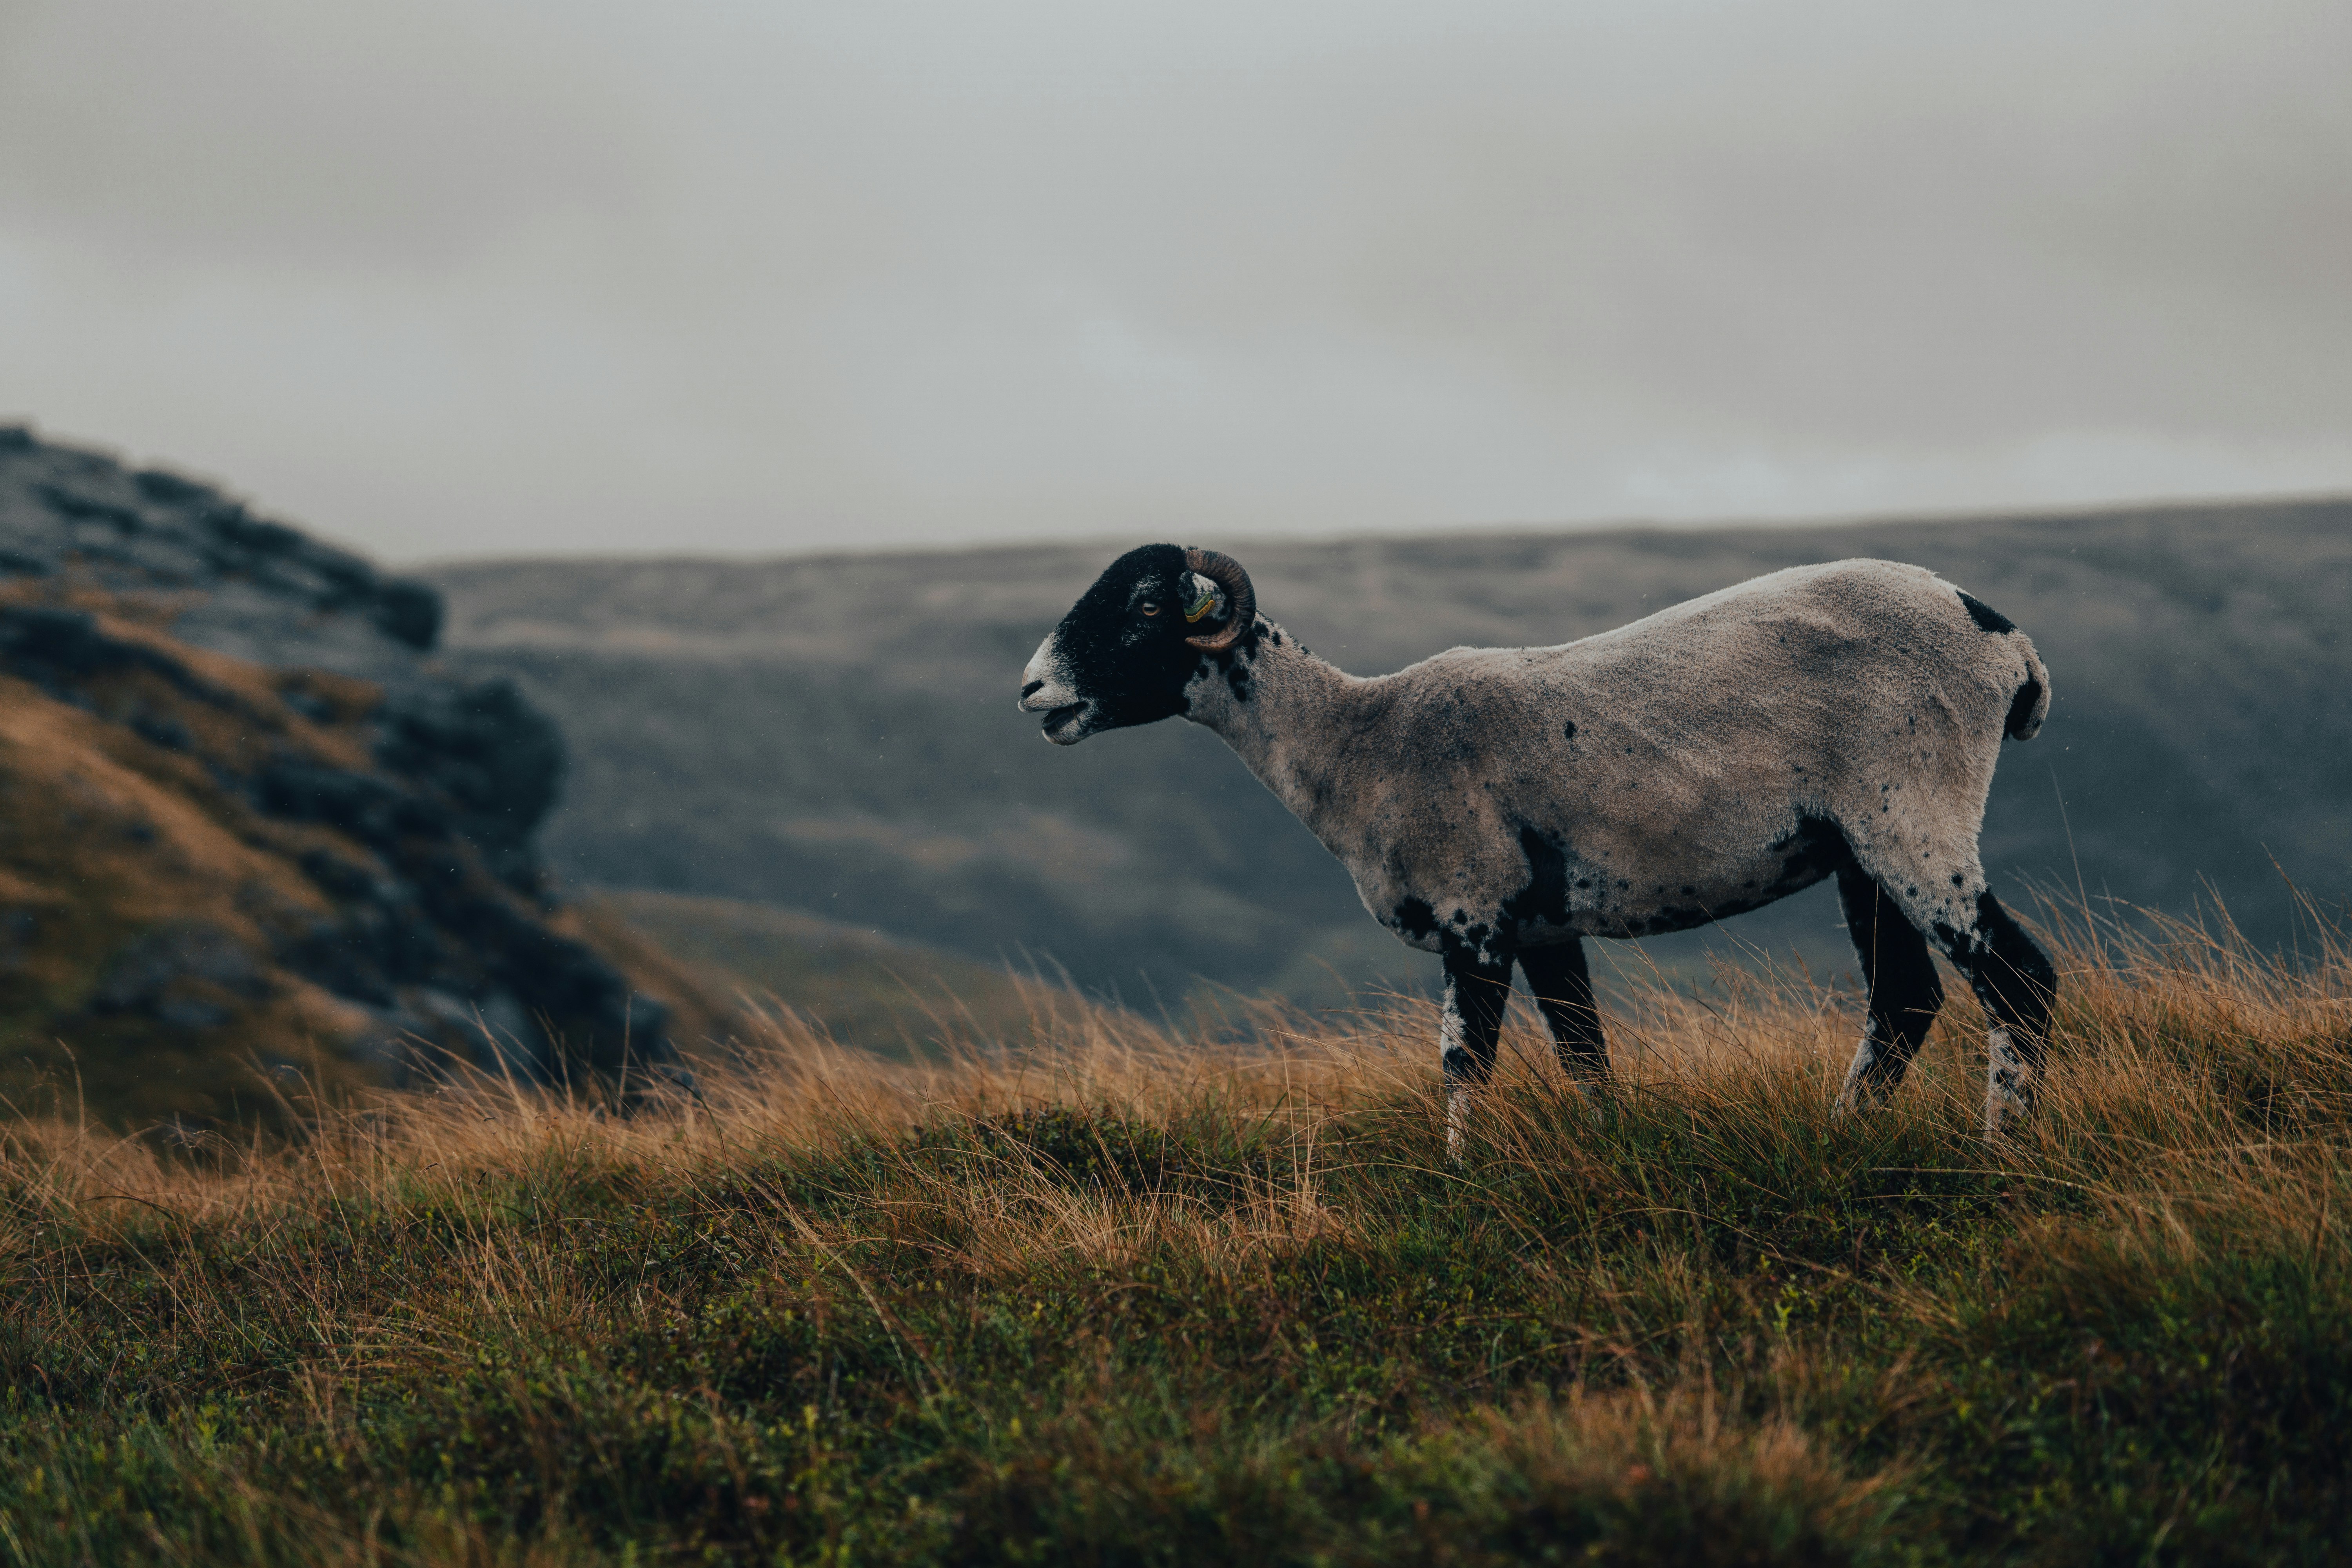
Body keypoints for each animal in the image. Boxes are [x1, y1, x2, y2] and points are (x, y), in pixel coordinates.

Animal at [1011, 545, 2060, 1161]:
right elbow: (1585, 1055)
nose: (1032, 691)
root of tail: (2007, 641)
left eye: (1146, 608)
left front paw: (1460, 1181)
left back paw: (2000, 1155)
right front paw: (1611, 1156)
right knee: (1904, 1000)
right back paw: (1840, 1141)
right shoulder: (1549, 926)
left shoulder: (1474, 916)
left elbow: (1462, 1061)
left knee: (2018, 978)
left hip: (1913, 814)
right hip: (1855, 851)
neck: (1357, 743)